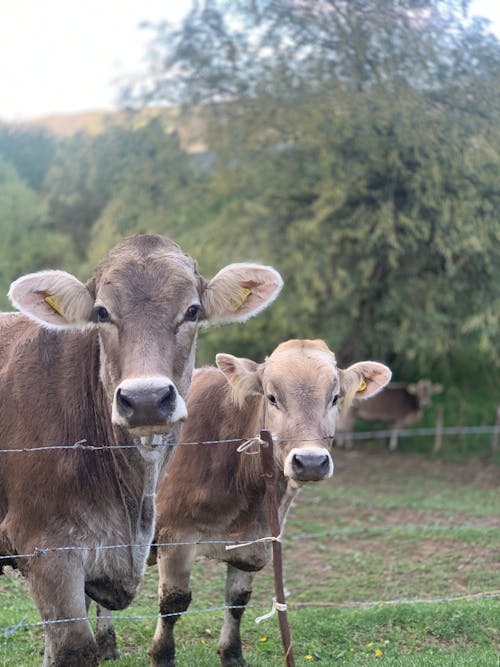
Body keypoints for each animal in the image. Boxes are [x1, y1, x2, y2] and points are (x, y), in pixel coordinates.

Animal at [145, 342, 390, 664]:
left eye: (335, 397)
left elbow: (237, 601)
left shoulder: (255, 544)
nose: (310, 461)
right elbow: (173, 604)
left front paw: (232, 654)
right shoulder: (175, 537)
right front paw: (162, 655)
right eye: (272, 398)